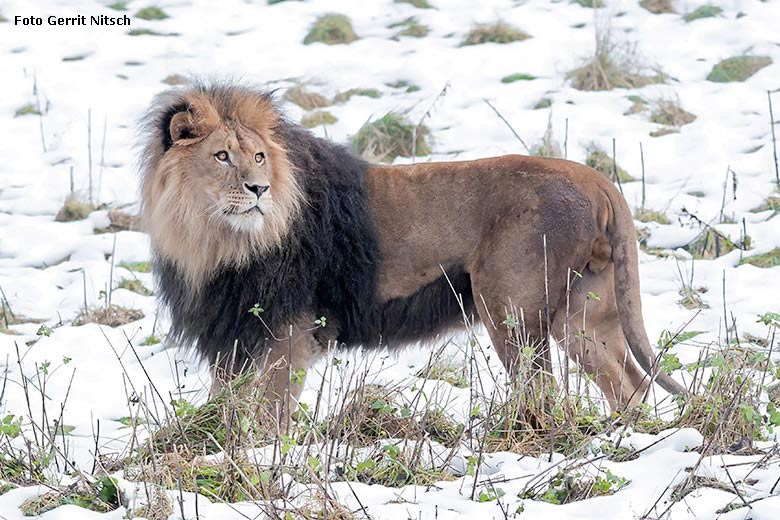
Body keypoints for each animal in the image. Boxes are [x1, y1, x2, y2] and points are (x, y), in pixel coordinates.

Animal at [140, 81, 684, 416]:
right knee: (630, 384)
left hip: (509, 309)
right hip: (582, 315)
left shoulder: (287, 331)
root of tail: (595, 178)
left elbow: (272, 415)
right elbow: (225, 408)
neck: (215, 242)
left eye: (257, 156)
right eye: (221, 156)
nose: (259, 189)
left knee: (543, 391)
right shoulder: (230, 336)